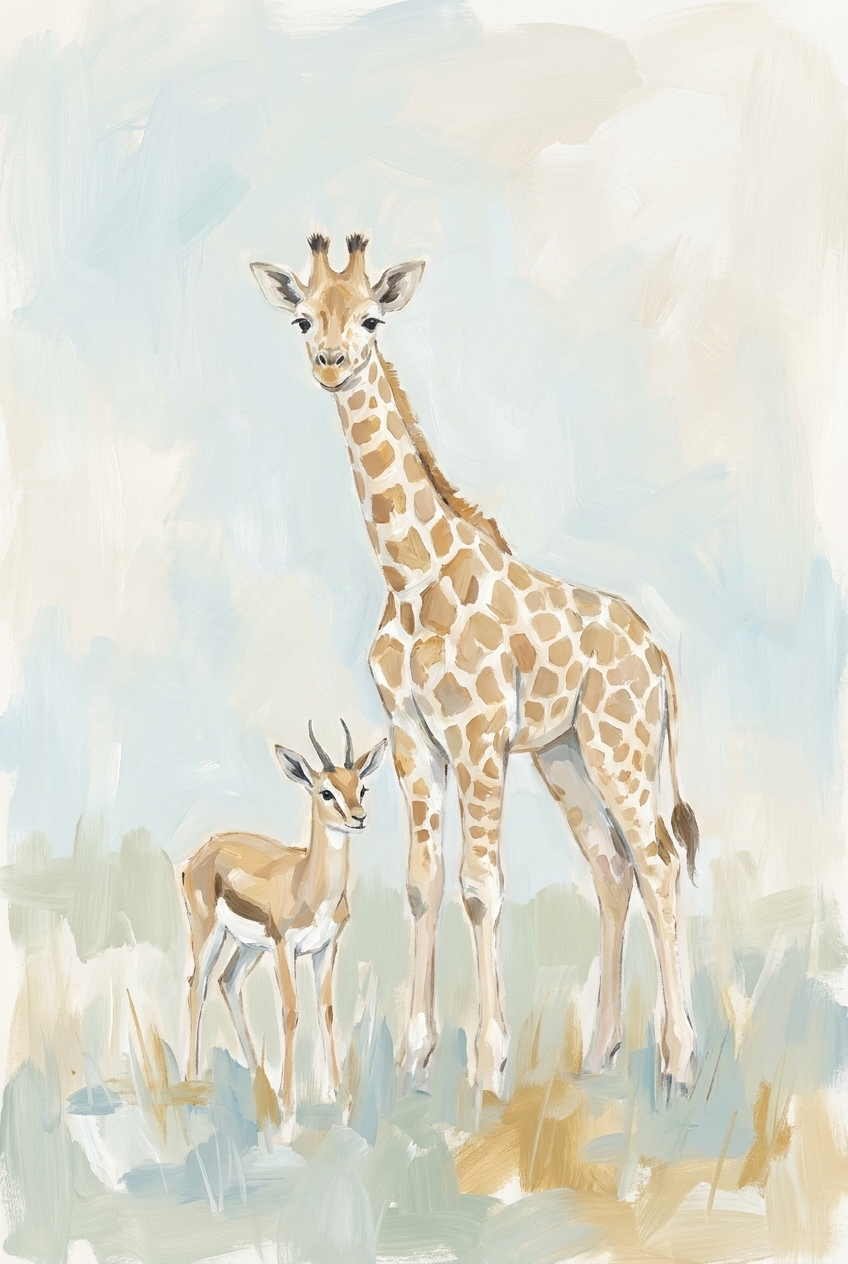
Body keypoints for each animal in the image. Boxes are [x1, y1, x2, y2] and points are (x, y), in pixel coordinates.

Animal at [182, 721, 386, 1119]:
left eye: (362, 788)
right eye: (326, 791)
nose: (358, 818)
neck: (307, 882)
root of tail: (201, 853)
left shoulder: (326, 947)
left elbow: (326, 1011)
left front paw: (338, 1094)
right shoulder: (283, 946)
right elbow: (291, 1012)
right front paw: (289, 1102)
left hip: (247, 947)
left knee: (228, 982)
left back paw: (258, 1076)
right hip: (209, 932)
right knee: (197, 986)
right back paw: (192, 1082)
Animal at [250, 233, 700, 1097]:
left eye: (370, 318)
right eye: (301, 319)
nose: (330, 362)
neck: (410, 574)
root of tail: (660, 657)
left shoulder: (480, 736)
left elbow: (482, 888)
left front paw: (488, 1067)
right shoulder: (413, 740)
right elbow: (423, 884)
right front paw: (416, 1059)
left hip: (617, 747)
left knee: (659, 862)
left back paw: (679, 1064)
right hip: (565, 754)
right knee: (613, 867)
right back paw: (600, 1057)